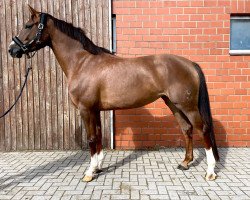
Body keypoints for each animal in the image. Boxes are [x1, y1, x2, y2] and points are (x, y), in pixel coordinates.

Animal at [8, 6, 219, 182]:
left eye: (28, 25)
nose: (12, 49)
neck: (82, 63)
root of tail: (190, 63)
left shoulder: (86, 109)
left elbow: (91, 138)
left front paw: (89, 172)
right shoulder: (95, 110)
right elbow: (99, 135)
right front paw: (98, 167)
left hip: (188, 106)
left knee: (203, 129)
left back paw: (210, 172)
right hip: (173, 105)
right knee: (187, 129)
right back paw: (185, 163)